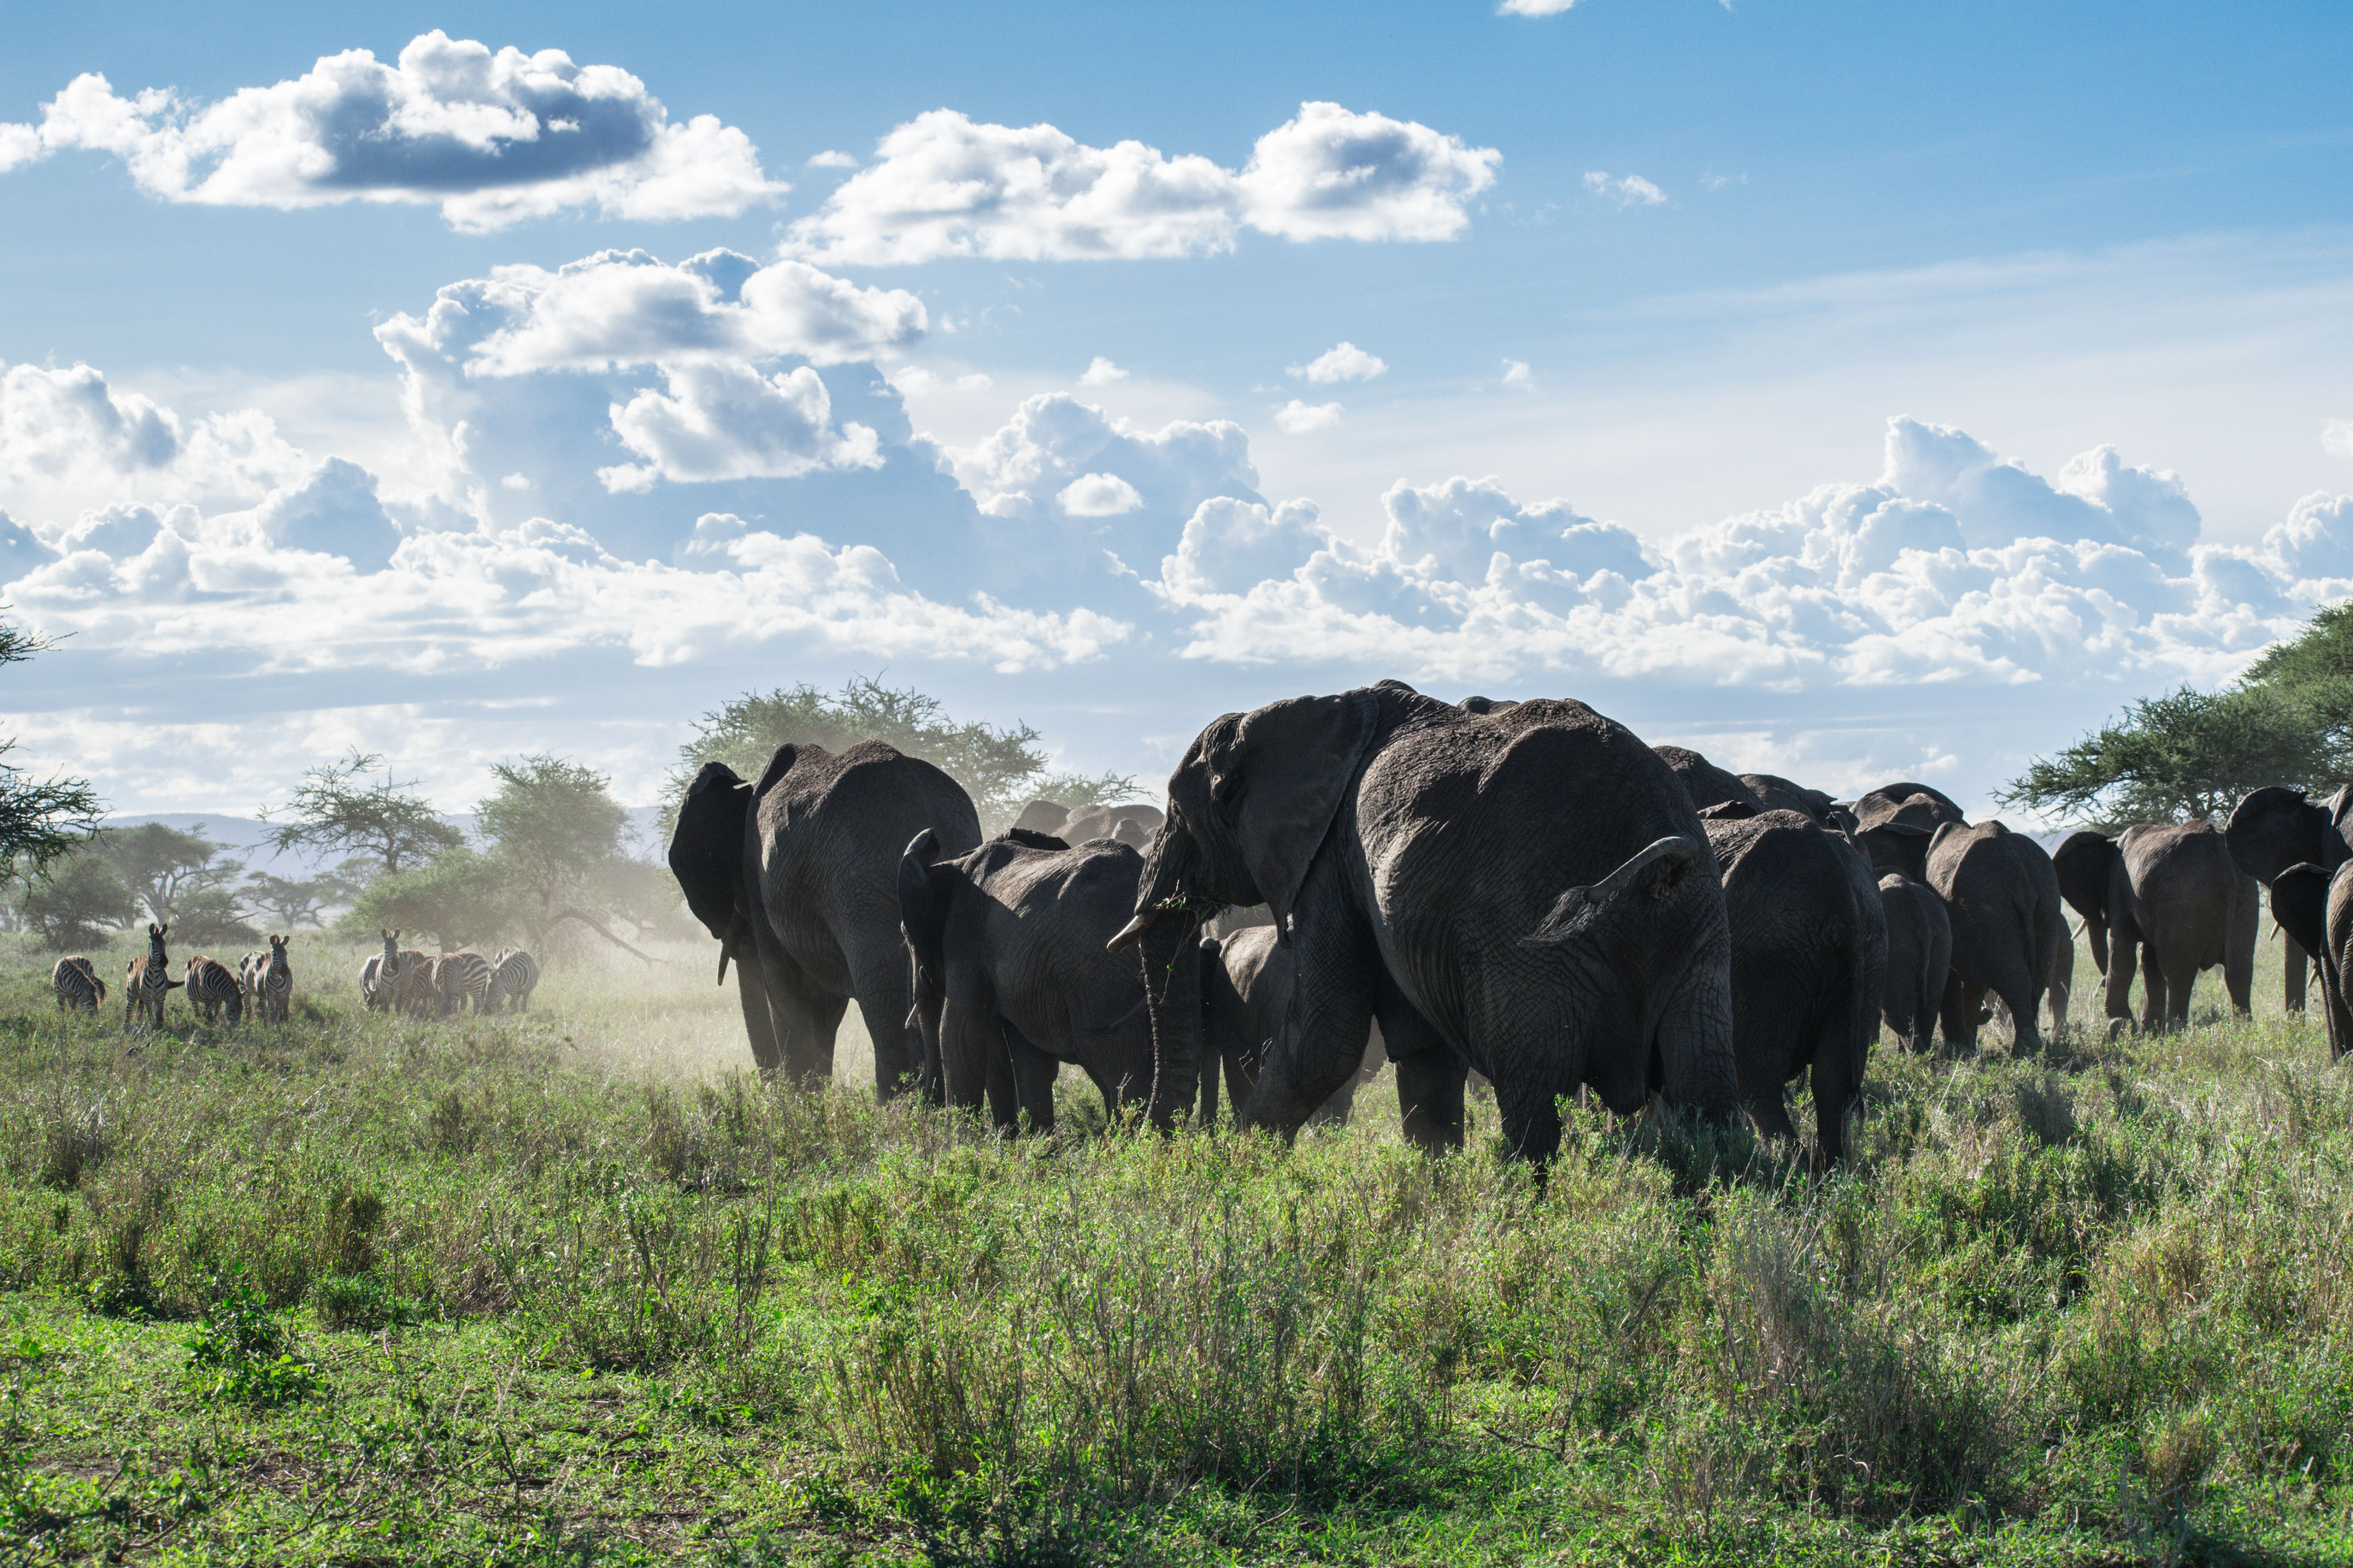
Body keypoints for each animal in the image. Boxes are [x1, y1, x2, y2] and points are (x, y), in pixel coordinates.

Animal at [669, 740, 982, 1095]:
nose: (768, 1092)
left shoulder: (760, 881)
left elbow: (783, 985)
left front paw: (798, 1101)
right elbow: (824, 1005)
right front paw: (813, 1096)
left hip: (861, 884)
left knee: (880, 995)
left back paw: (898, 1105)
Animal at [898, 828, 1154, 1131]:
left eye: (905, 934)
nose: (920, 1112)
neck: (954, 864)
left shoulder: (964, 935)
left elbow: (959, 1033)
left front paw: (964, 1140)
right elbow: (1027, 1054)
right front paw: (1034, 1142)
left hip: (1102, 977)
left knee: (1118, 1066)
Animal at [1702, 807, 1887, 1161]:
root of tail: (1841, 890)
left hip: (1765, 953)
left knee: (1757, 1081)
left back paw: (1784, 1164)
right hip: (1869, 952)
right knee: (1832, 1080)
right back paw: (1831, 1168)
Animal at [1925, 820, 2072, 1054]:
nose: (1987, 1013)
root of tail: (2022, 876)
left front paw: (1959, 1049)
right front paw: (1966, 1048)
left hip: (1987, 906)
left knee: (2014, 977)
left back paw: (2024, 1051)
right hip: (2047, 905)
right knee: (2038, 977)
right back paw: (2031, 1047)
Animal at [2053, 823, 2257, 1029]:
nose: (2101, 984)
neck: (2110, 840)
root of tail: (2220, 855)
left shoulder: (2120, 889)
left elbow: (2122, 953)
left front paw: (2120, 1026)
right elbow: (2149, 962)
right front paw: (2148, 1030)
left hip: (2184, 901)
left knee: (2178, 973)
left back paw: (2176, 1032)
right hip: (2245, 896)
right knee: (2239, 970)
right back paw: (2242, 1028)